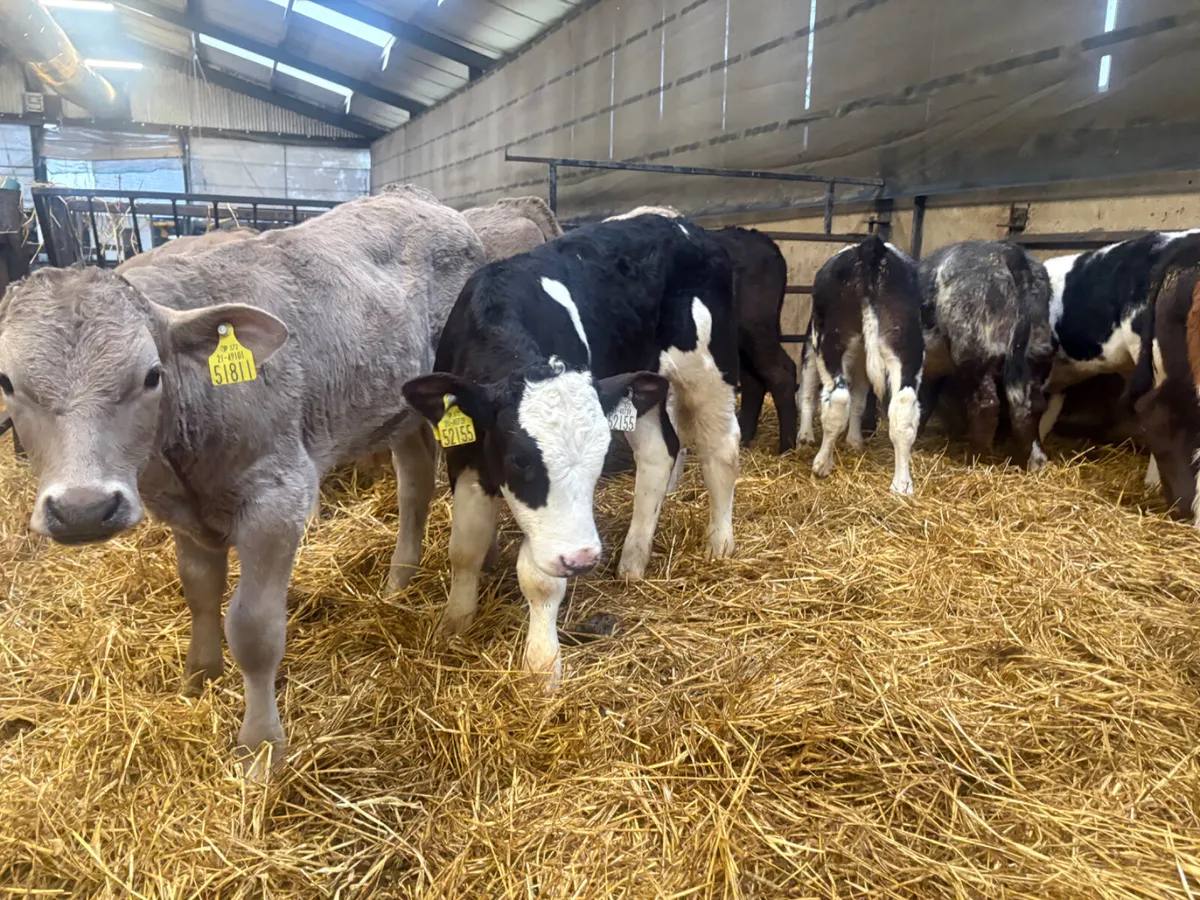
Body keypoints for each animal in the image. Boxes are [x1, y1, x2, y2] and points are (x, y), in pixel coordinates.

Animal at [402, 213, 740, 689]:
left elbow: (541, 580)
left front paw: (542, 665)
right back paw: (633, 560)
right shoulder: (466, 455)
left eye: (598, 463)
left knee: (721, 449)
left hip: (707, 366)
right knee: (660, 452)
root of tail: (680, 222)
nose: (582, 558)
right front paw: (455, 622)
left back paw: (719, 542)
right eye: (520, 459)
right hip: (639, 384)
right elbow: (464, 548)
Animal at [796, 236, 923, 494]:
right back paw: (902, 484)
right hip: (905, 344)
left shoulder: (811, 350)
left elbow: (808, 393)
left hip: (830, 342)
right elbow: (859, 401)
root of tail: (872, 247)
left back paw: (822, 464)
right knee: (903, 408)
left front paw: (805, 437)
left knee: (837, 400)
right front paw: (855, 441)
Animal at [917, 241, 1054, 469]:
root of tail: (1009, 251)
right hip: (1036, 354)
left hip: (975, 351)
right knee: (1032, 406)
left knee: (986, 405)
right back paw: (1031, 462)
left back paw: (975, 460)